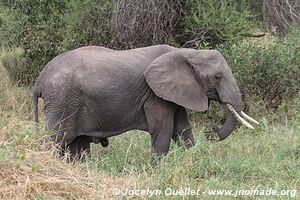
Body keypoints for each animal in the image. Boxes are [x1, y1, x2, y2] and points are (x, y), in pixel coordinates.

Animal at [32, 45, 258, 159]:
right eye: (218, 77)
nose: (211, 129)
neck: (188, 52)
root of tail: (39, 79)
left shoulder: (173, 93)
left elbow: (182, 129)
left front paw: (193, 160)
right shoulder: (154, 95)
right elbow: (164, 130)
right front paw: (156, 170)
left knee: (74, 145)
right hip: (62, 101)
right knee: (54, 139)